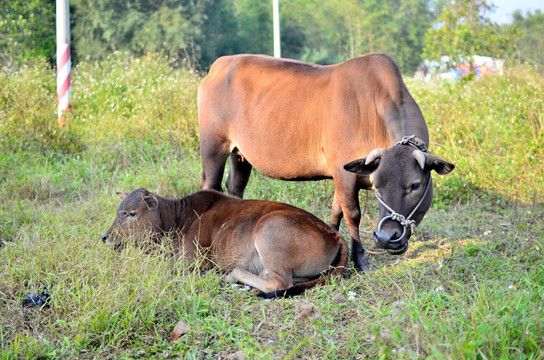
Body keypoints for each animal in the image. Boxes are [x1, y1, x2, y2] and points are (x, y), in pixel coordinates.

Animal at [101, 188, 348, 298]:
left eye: (132, 213)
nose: (105, 237)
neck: (179, 219)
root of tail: (334, 234)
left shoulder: (192, 261)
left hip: (269, 230)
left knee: (279, 284)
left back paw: (231, 275)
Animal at [198, 52, 452, 268]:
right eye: (377, 186)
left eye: (415, 185)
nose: (385, 237)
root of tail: (219, 64)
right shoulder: (344, 173)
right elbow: (353, 214)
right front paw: (360, 261)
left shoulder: (341, 174)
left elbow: (336, 210)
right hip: (213, 147)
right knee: (211, 185)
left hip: (240, 155)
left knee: (235, 188)